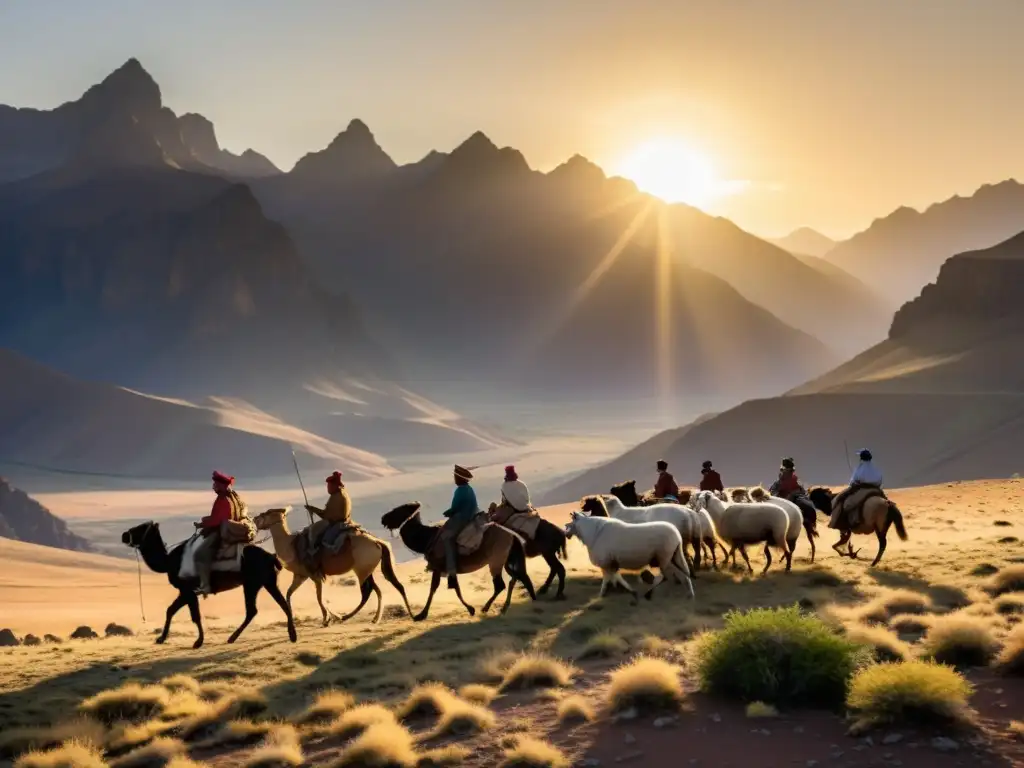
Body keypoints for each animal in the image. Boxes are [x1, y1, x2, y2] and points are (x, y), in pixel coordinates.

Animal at [121, 524, 296, 651]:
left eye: (139, 528)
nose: (124, 535)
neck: (169, 562)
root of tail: (272, 557)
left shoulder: (188, 590)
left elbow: (195, 616)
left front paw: (198, 642)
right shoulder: (186, 591)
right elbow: (170, 610)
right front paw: (160, 639)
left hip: (257, 582)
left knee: (265, 607)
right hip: (262, 582)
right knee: (267, 606)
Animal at [251, 507, 411, 626]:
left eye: (265, 514)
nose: (253, 520)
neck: (291, 545)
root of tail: (378, 542)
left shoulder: (314, 575)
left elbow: (319, 597)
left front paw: (327, 619)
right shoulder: (301, 575)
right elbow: (289, 593)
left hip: (360, 568)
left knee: (367, 591)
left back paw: (346, 617)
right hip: (366, 569)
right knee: (377, 589)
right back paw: (375, 618)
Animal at [376, 501, 536, 622]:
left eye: (399, 510)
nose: (383, 518)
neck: (426, 539)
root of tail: (512, 535)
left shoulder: (439, 566)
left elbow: (435, 588)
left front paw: (421, 614)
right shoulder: (448, 567)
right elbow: (455, 588)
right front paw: (470, 609)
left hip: (496, 559)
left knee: (501, 584)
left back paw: (487, 607)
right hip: (506, 558)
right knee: (516, 577)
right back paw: (509, 606)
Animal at [561, 514, 696, 606]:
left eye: (572, 521)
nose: (565, 533)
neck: (594, 534)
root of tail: (677, 536)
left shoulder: (606, 563)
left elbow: (610, 579)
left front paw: (605, 594)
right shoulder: (611, 564)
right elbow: (614, 578)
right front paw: (615, 591)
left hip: (664, 559)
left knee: (674, 576)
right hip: (672, 557)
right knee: (677, 575)